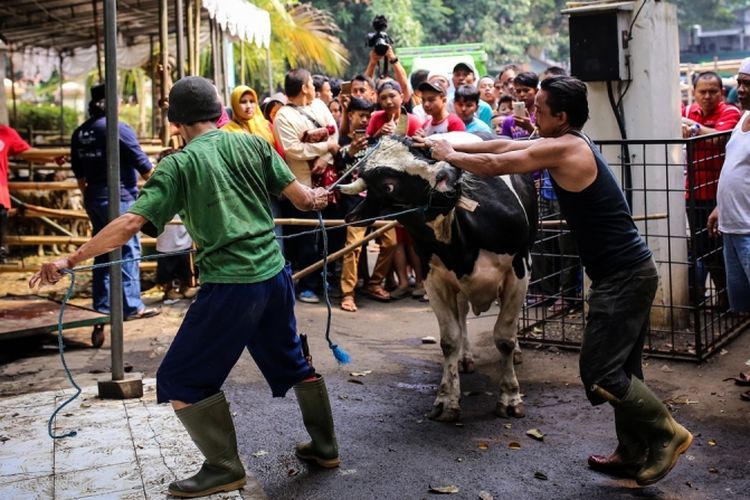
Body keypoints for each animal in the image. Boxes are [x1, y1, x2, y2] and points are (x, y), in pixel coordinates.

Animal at [340, 134, 536, 422]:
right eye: (388, 186)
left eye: (423, 151)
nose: (449, 173)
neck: (461, 240)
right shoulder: (433, 280)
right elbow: (450, 339)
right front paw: (446, 400)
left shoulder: (518, 271)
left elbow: (504, 337)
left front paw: (510, 398)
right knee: (463, 315)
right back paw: (466, 358)